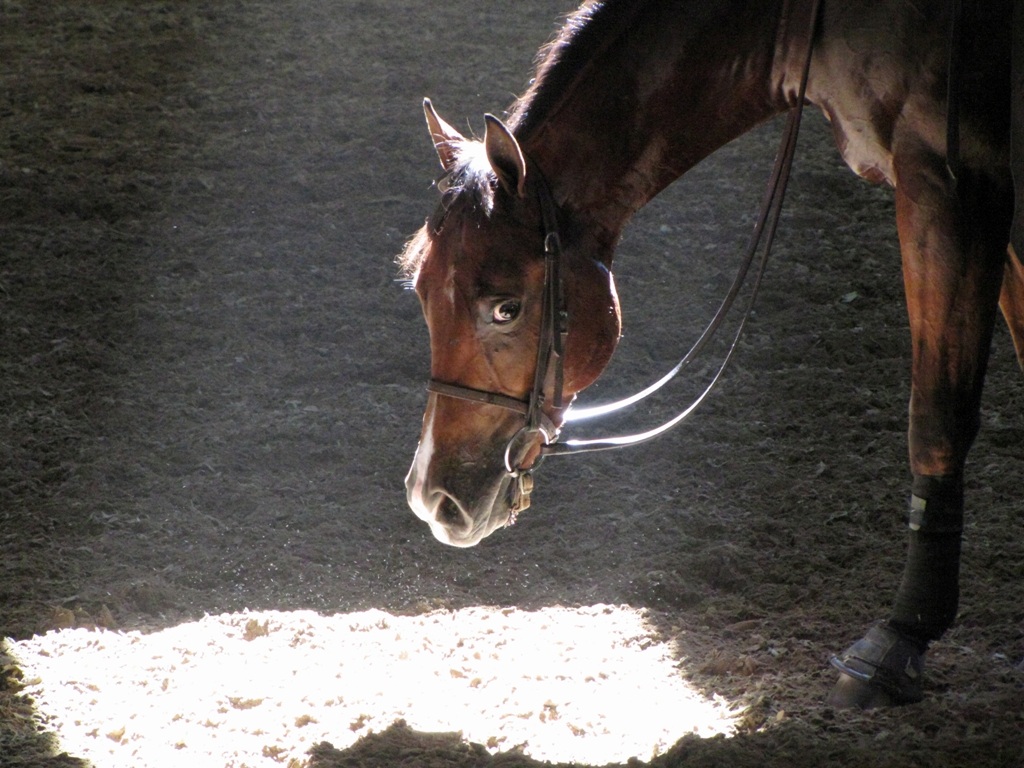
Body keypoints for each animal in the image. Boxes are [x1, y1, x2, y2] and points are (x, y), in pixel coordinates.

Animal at [399, 0, 1023, 709]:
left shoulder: (953, 184)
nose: (431, 498)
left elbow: (938, 419)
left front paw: (900, 640)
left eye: (505, 308)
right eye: (419, 289)